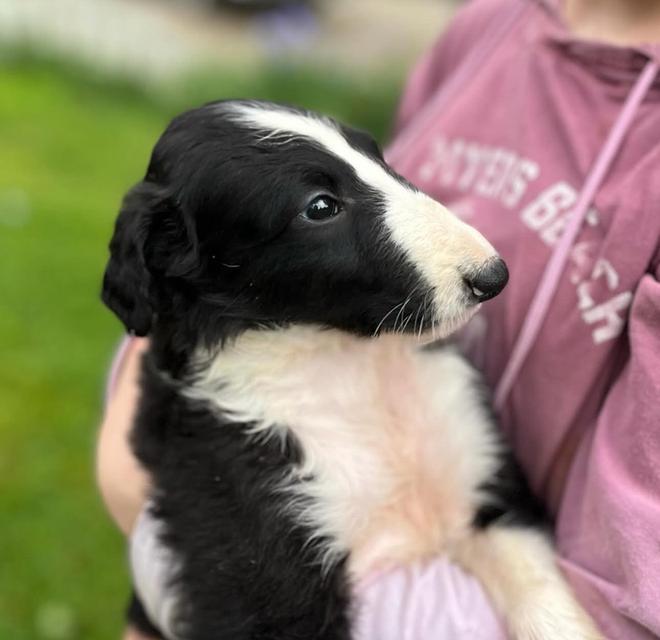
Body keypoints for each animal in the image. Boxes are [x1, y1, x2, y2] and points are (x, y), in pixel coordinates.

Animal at [100, 100, 600, 640]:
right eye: (320, 207)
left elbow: (542, 592)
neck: (350, 367)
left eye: (376, 156)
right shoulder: (262, 559)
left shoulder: (486, 489)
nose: (492, 276)